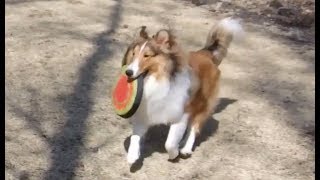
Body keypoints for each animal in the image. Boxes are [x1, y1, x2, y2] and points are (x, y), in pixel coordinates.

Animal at [121, 17, 244, 164]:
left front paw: (173, 154)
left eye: (147, 55)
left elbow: (169, 143)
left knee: (194, 128)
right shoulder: (144, 113)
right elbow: (135, 137)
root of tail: (206, 53)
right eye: (133, 53)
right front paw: (133, 155)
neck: (159, 80)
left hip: (203, 105)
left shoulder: (181, 113)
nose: (128, 72)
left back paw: (185, 148)